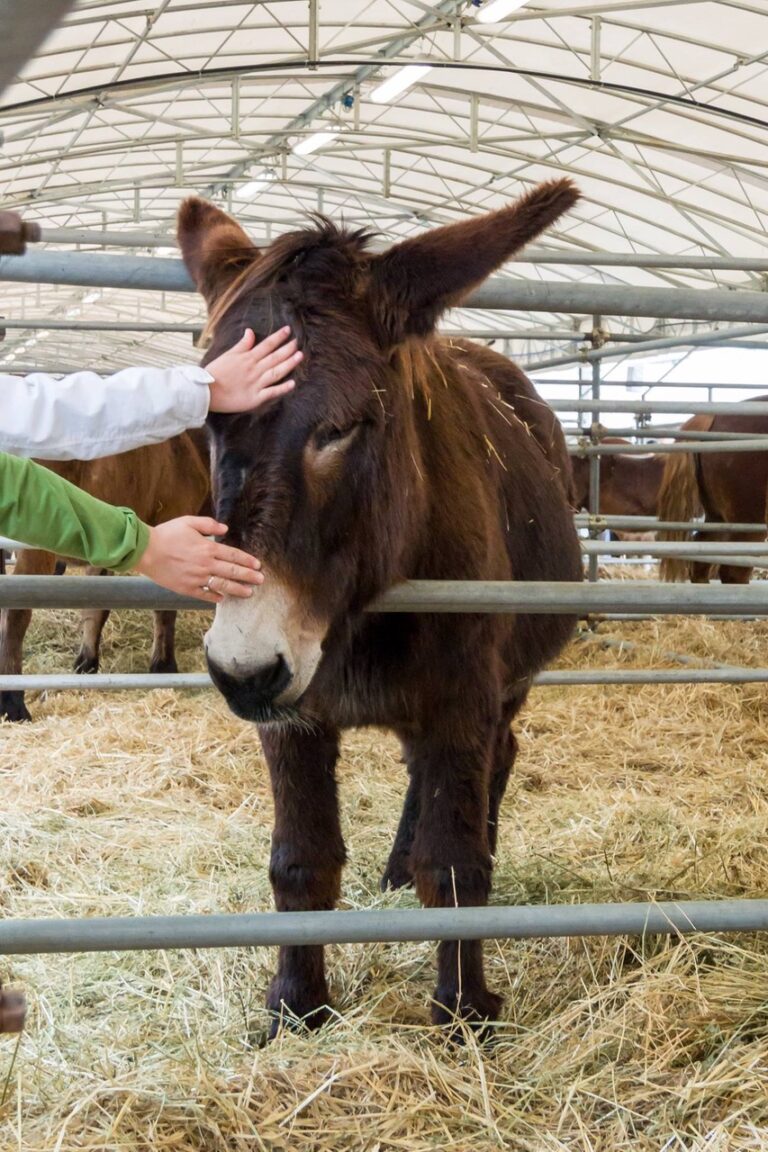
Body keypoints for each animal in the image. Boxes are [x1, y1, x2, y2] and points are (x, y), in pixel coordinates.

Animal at [0, 433, 210, 718]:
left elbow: (96, 606)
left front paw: (86, 662)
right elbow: (164, 605)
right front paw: (164, 665)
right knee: (15, 614)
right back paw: (12, 701)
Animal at [176, 177, 582, 1036]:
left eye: (343, 428)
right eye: (210, 424)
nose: (242, 670)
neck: (352, 617)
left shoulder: (462, 700)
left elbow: (456, 867)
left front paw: (463, 1013)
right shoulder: (290, 719)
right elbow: (300, 862)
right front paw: (297, 1006)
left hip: (507, 683)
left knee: (497, 761)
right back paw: (395, 866)